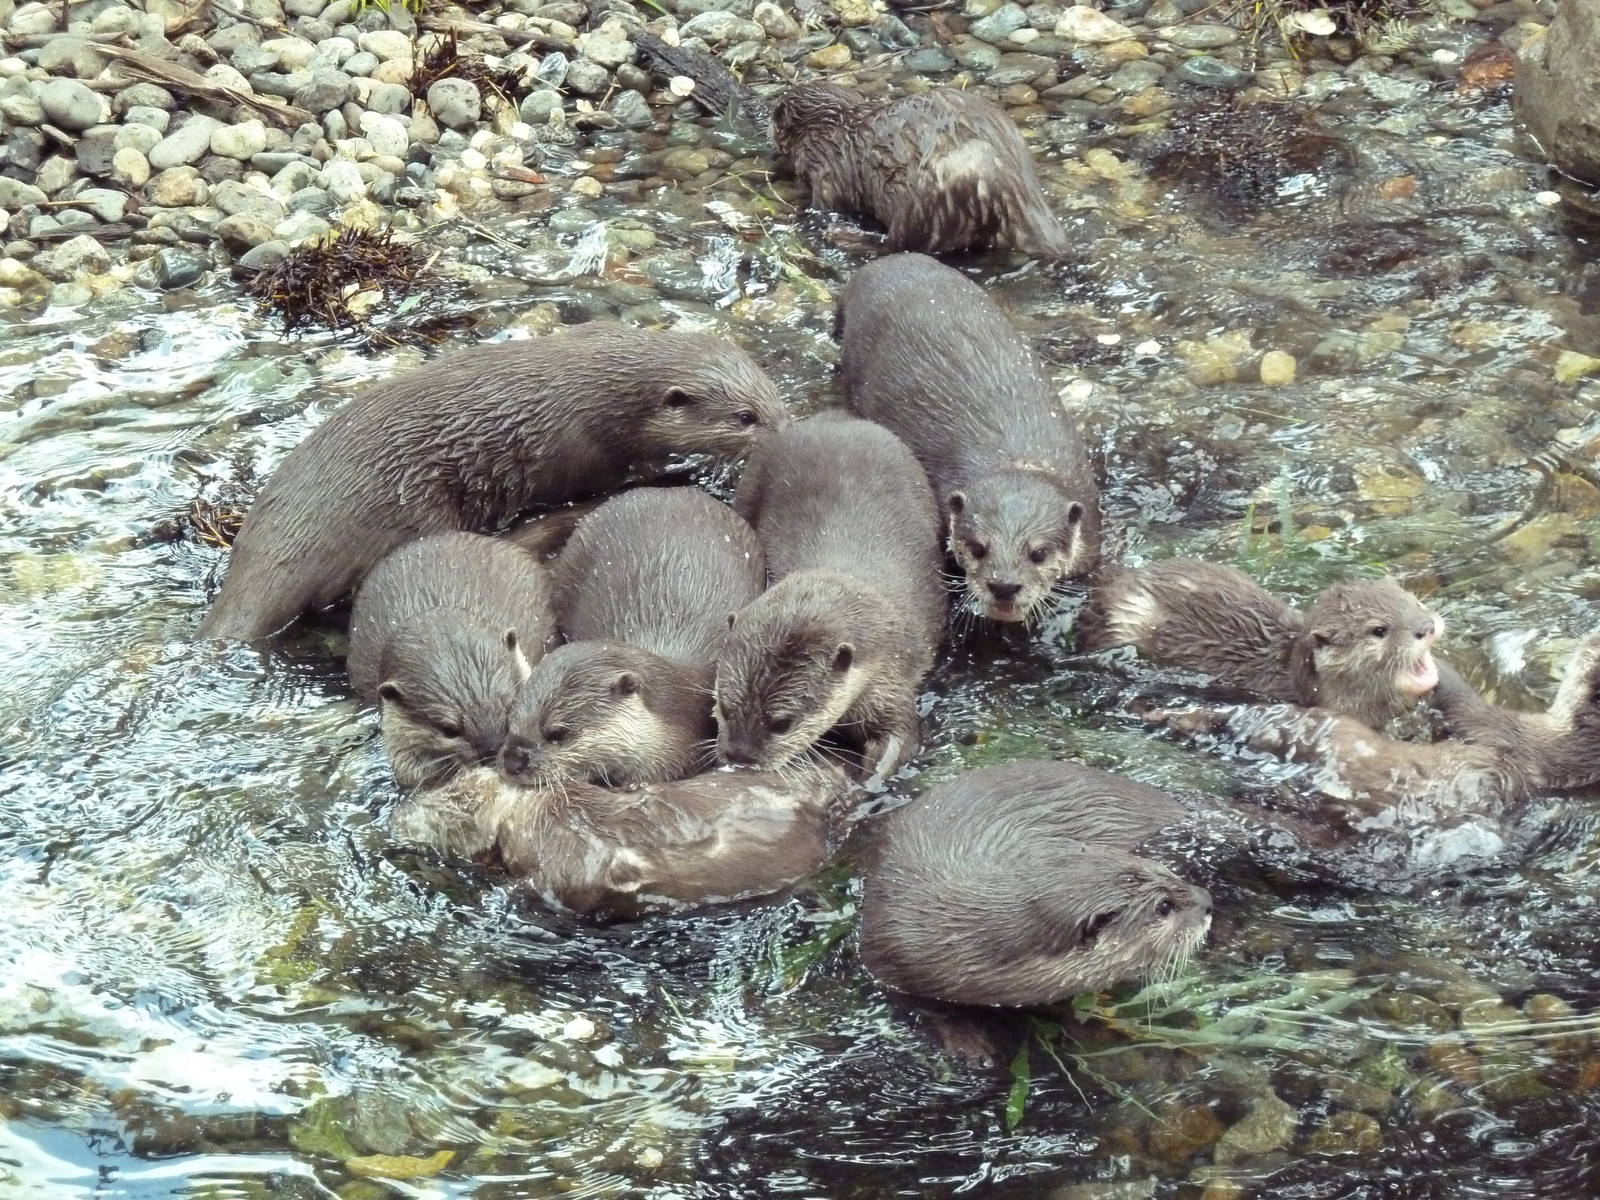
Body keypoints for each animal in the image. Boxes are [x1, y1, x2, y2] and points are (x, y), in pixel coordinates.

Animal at [196, 324, 786, 642]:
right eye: (746, 417)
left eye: (773, 394)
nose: (787, 428)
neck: (605, 394)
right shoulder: (583, 451)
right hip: (409, 512)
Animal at [716, 412, 945, 779]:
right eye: (724, 707)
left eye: (781, 723)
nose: (739, 756)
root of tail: (836, 420)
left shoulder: (892, 679)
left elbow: (901, 737)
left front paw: (869, 780)